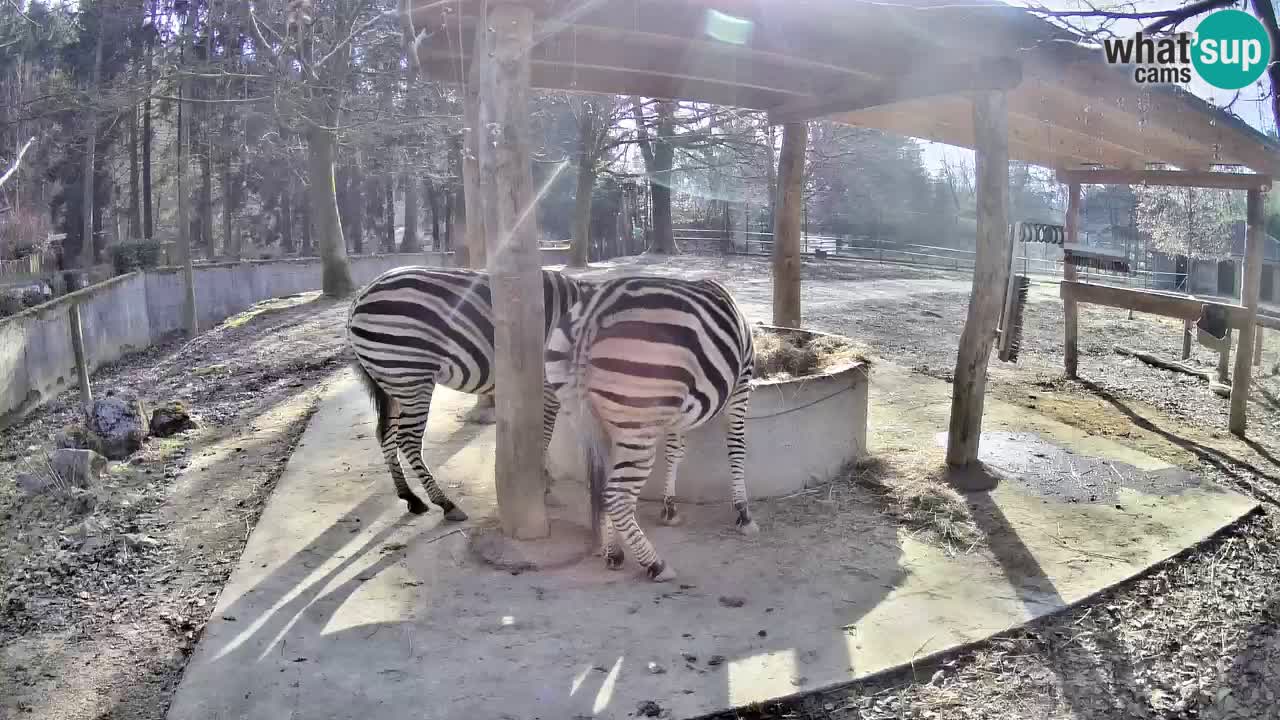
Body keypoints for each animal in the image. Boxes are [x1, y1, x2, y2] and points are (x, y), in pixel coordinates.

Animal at [350, 266, 588, 517]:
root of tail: (360, 296)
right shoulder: (551, 386)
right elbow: (549, 433)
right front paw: (544, 481)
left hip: (393, 384)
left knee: (385, 435)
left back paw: (410, 497)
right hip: (411, 378)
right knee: (407, 440)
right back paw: (445, 503)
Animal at [542, 271, 757, 579]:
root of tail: (592, 314)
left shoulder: (677, 410)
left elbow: (675, 451)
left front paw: (670, 507)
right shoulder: (742, 383)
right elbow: (737, 448)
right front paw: (743, 512)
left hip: (588, 419)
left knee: (602, 488)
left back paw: (614, 552)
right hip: (638, 428)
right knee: (617, 496)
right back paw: (655, 564)